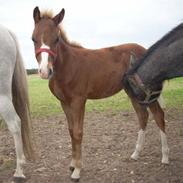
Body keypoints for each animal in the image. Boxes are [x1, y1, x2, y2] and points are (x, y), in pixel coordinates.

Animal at [31, 6, 169, 180]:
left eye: (56, 39)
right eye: (33, 39)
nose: (44, 71)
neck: (67, 66)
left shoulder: (78, 101)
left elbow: (78, 132)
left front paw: (77, 171)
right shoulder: (64, 102)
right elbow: (71, 131)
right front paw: (72, 164)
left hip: (146, 92)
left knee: (158, 115)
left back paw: (165, 157)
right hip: (133, 92)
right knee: (143, 116)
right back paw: (136, 154)